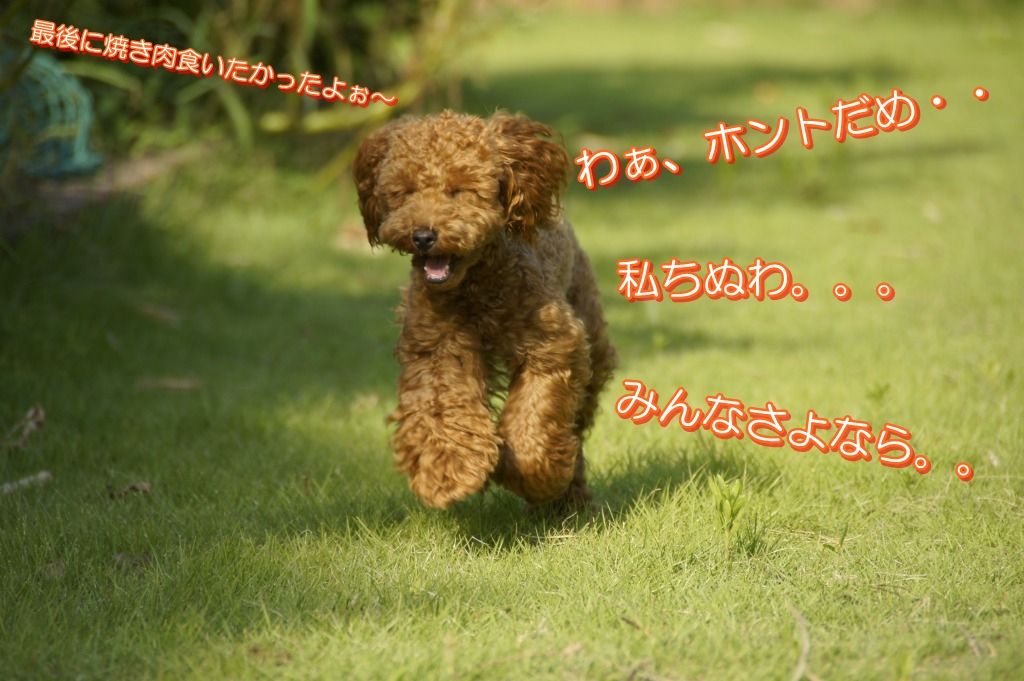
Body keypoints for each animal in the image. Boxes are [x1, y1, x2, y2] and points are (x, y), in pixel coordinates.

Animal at [354, 110, 615, 510]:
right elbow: (440, 408)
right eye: (405, 191)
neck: (476, 286)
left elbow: (536, 412)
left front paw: (532, 471)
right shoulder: (438, 346)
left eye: (459, 189)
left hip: (591, 335)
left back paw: (568, 496)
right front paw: (446, 470)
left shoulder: (554, 346)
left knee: (576, 421)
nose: (423, 236)